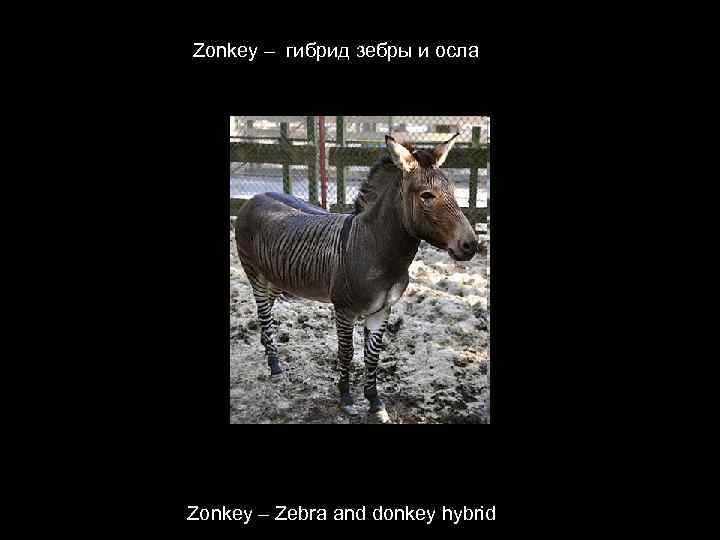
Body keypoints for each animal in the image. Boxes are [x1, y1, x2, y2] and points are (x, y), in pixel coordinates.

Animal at [234, 133, 478, 423]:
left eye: (452, 190)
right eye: (427, 195)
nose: (471, 245)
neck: (374, 248)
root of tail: (254, 197)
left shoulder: (382, 309)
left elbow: (372, 356)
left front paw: (375, 402)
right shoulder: (344, 309)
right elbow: (347, 352)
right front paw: (346, 398)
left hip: (276, 278)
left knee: (267, 314)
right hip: (256, 276)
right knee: (264, 316)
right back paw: (274, 365)